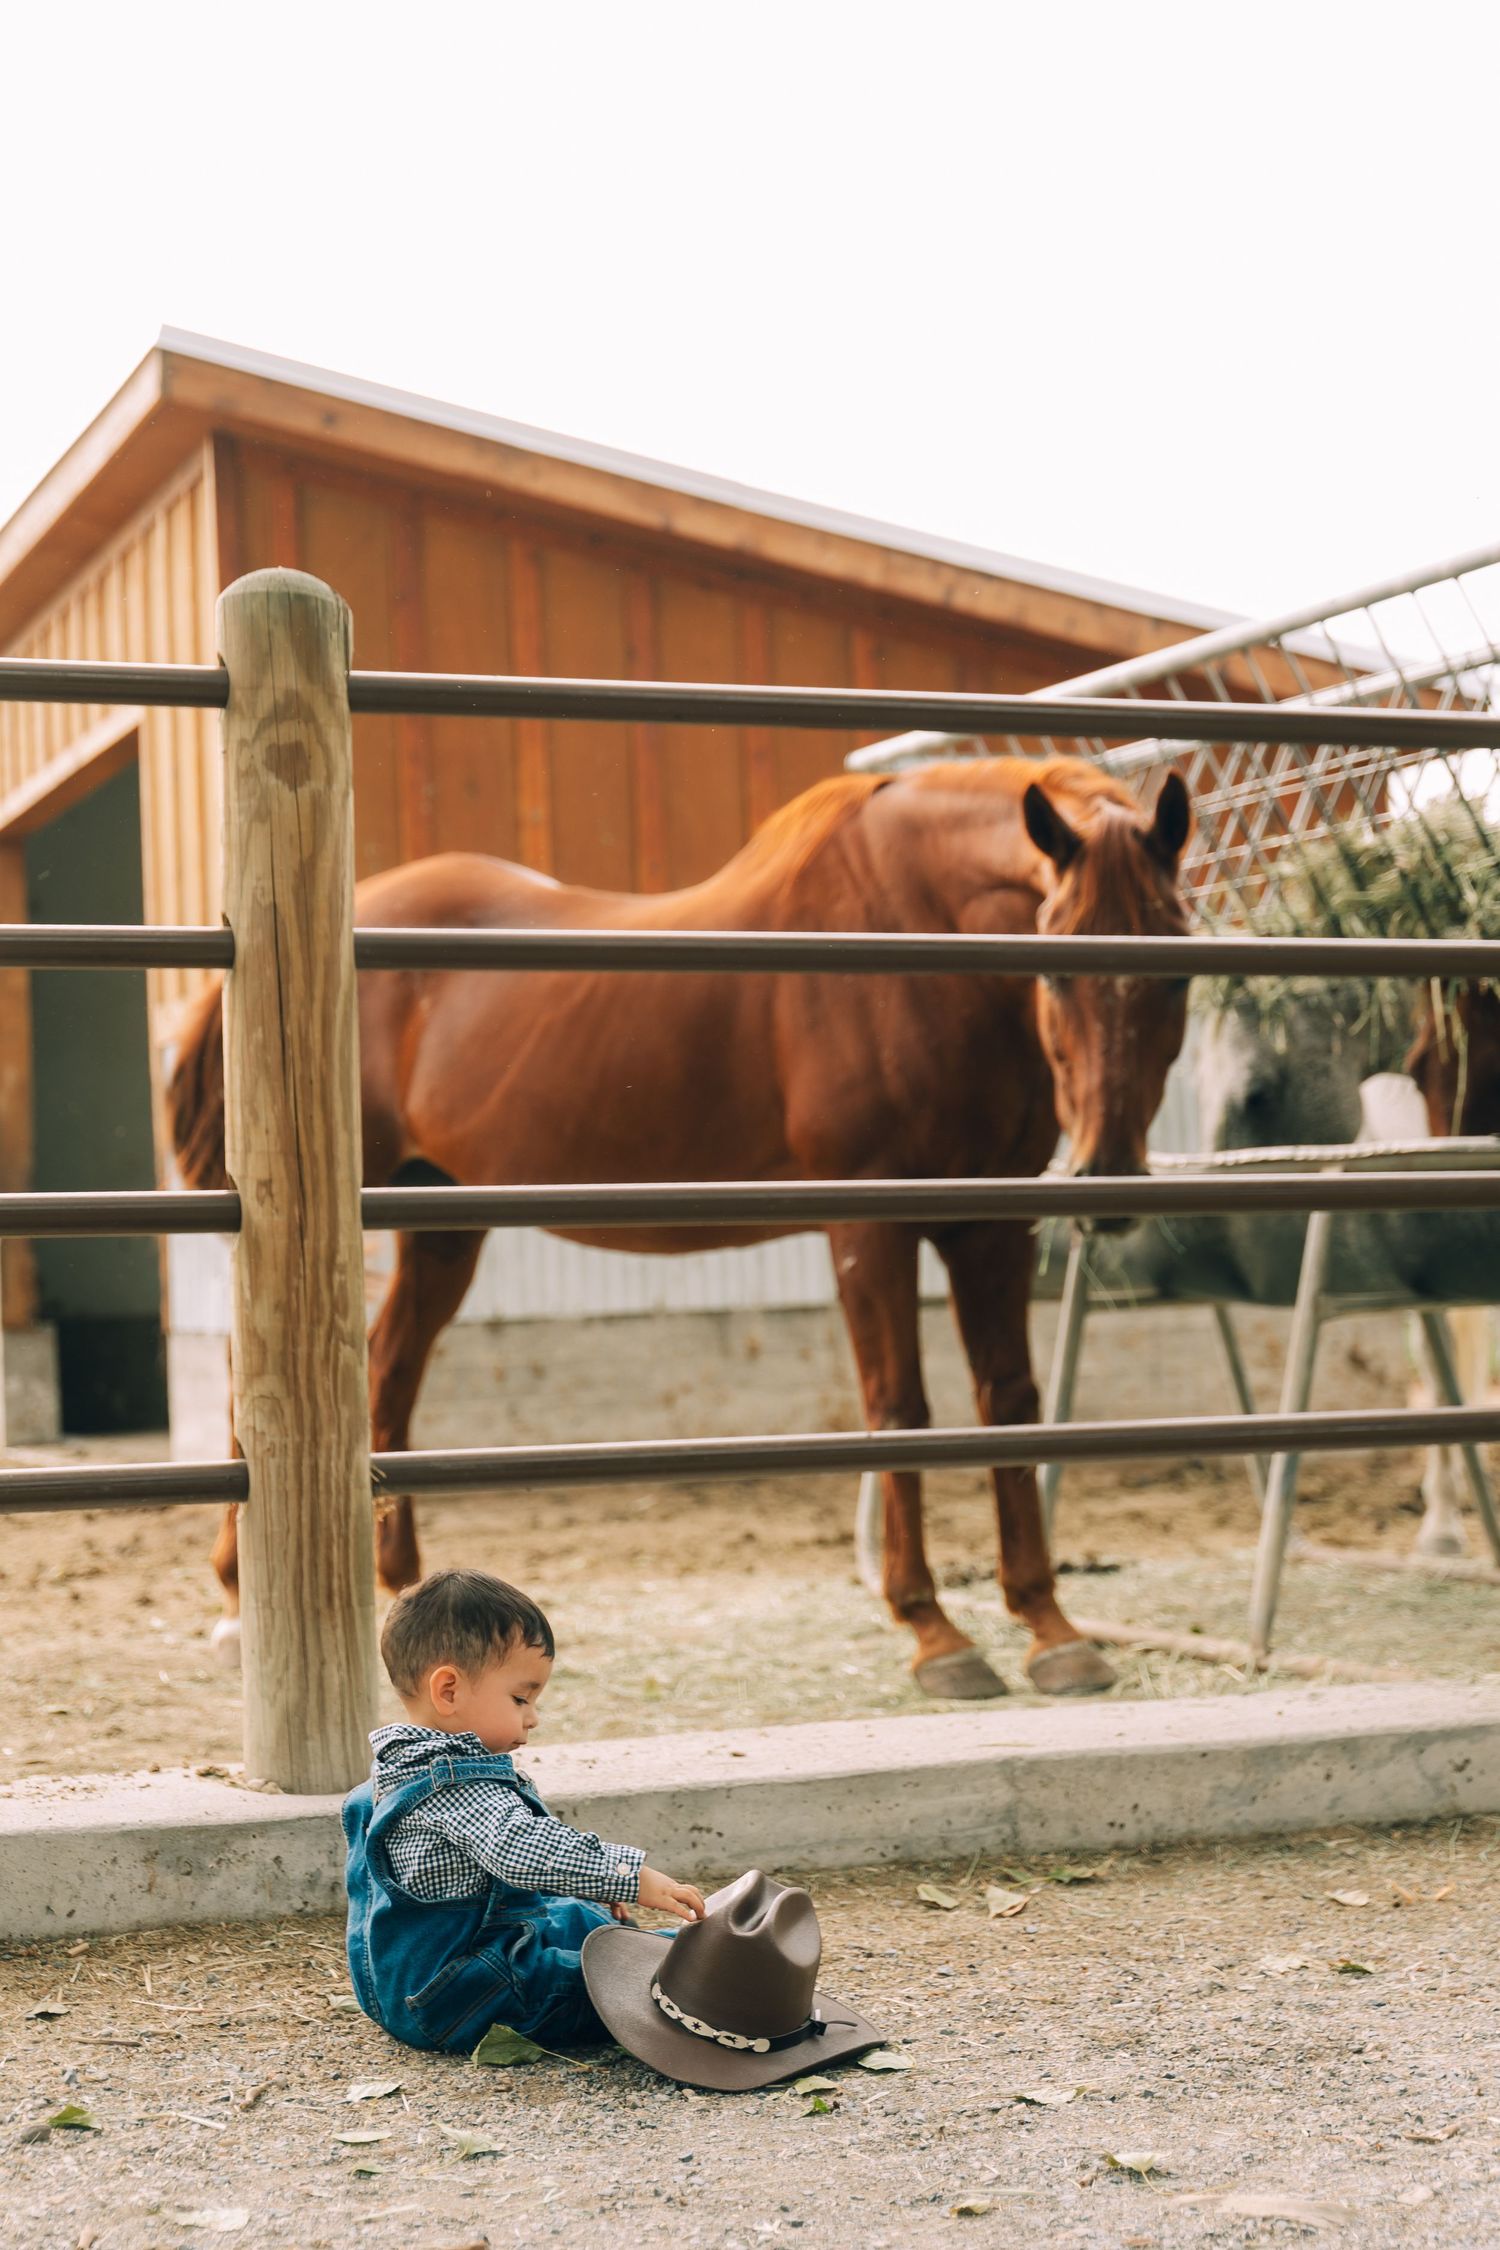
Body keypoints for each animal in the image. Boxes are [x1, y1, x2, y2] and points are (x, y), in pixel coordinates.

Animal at [169, 756, 1193, 1701]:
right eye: (1054, 962)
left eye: (1179, 968)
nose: (1108, 1176)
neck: (914, 936)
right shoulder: (871, 1221)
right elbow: (899, 1407)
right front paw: (936, 1634)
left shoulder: (994, 1223)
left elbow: (1009, 1402)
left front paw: (1051, 1627)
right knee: (259, 1379)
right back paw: (238, 1605)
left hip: (443, 1223)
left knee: (388, 1372)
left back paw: (400, 1586)